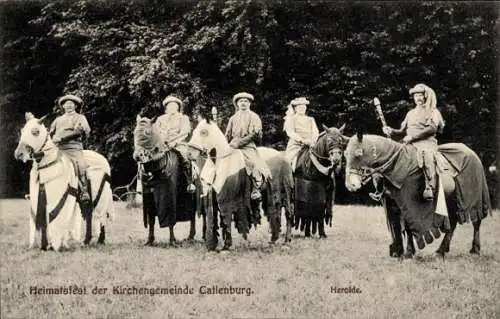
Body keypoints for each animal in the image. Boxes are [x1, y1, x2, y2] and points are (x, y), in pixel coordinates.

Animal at [14, 114, 114, 251]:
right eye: (22, 130)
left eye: (35, 132)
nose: (19, 154)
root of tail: (103, 159)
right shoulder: (41, 198)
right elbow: (44, 222)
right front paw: (44, 246)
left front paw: (53, 245)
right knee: (89, 215)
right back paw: (86, 241)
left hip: (101, 197)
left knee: (101, 217)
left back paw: (100, 240)